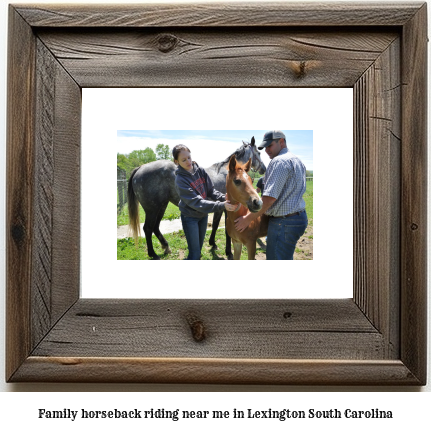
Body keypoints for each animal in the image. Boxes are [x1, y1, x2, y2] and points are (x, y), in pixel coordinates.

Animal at [126, 138, 264, 260]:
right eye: (259, 152)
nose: (263, 168)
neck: (226, 173)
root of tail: (140, 168)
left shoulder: (219, 209)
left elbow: (214, 225)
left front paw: (213, 243)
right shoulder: (226, 209)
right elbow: (225, 231)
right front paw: (228, 252)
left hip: (161, 206)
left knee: (155, 227)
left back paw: (166, 247)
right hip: (152, 209)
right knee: (147, 229)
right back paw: (153, 254)